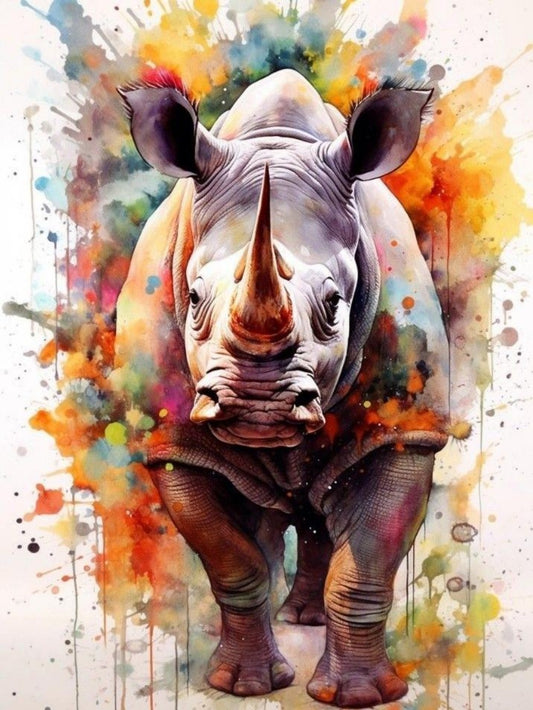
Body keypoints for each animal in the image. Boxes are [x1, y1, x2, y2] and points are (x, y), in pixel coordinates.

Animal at [115, 69, 449, 707]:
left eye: (335, 304)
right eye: (194, 297)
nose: (257, 405)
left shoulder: (408, 427)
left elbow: (367, 562)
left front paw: (360, 696)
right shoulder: (171, 442)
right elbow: (231, 559)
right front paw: (242, 686)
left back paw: (305, 621)